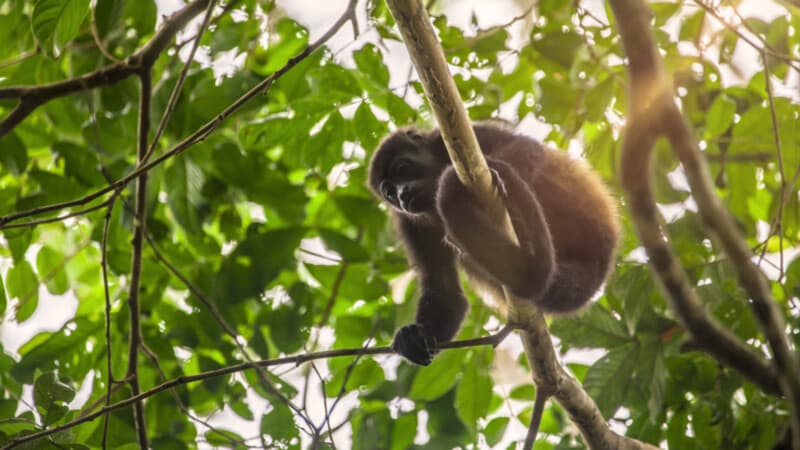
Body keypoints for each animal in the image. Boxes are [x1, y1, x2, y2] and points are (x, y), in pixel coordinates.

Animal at [368, 122, 620, 365]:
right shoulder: (410, 224)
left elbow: (528, 148)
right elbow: (445, 291)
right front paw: (414, 336)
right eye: (389, 193)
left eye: (402, 168)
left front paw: (497, 174)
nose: (402, 195)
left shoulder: (460, 136)